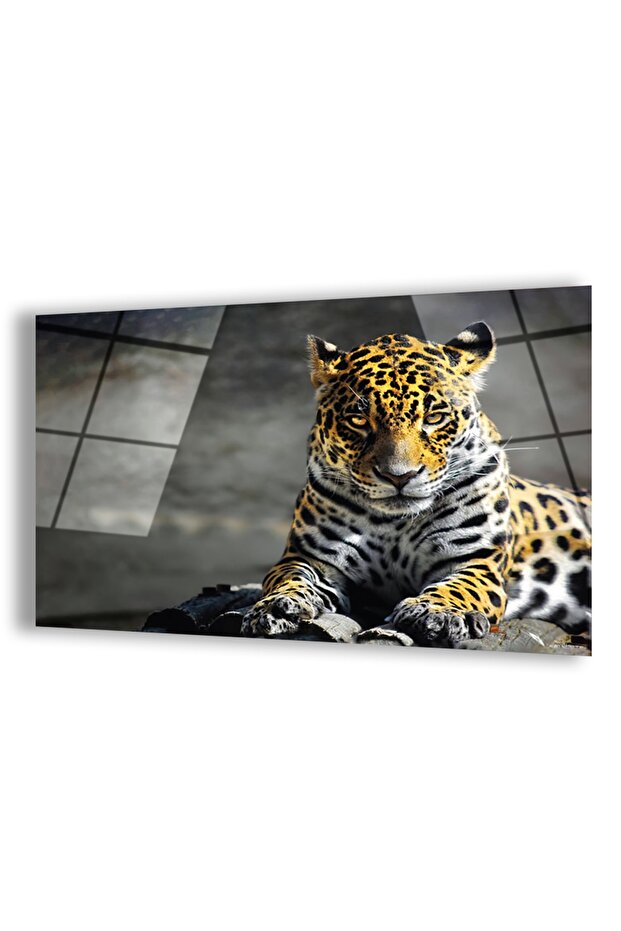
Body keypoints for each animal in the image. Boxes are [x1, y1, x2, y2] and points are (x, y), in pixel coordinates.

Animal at [241, 323, 591, 648]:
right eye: (358, 420)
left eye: (434, 418)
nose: (399, 476)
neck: (395, 523)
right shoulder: (309, 557)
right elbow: (289, 577)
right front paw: (277, 606)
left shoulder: (477, 560)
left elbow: (460, 587)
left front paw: (437, 612)